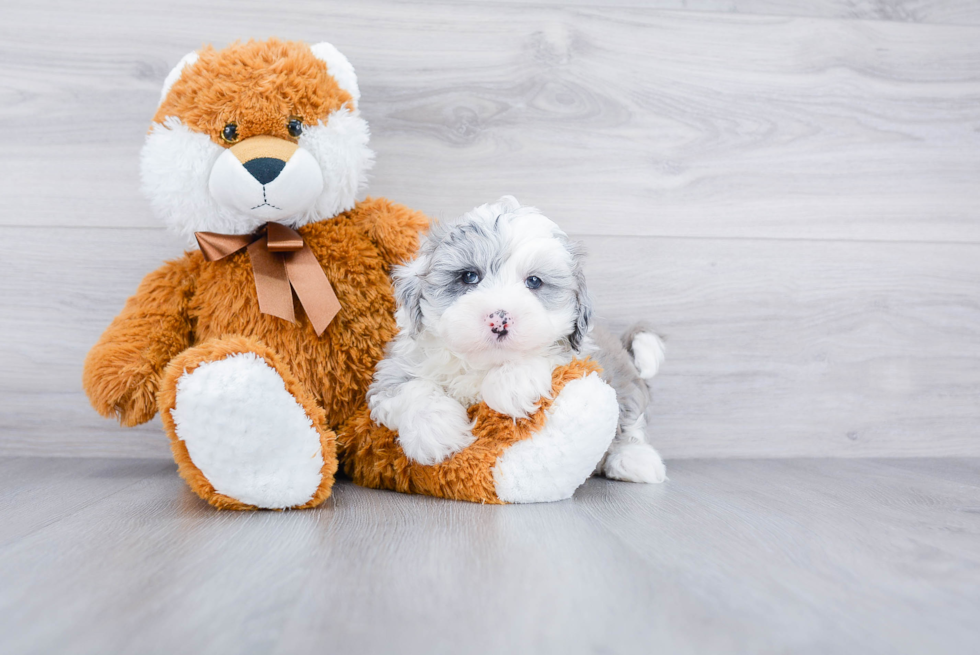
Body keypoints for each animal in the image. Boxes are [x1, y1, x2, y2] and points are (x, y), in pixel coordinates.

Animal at [368, 197, 668, 484]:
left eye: (534, 282)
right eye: (469, 276)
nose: (499, 320)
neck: (482, 365)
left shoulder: (580, 354)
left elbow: (544, 355)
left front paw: (512, 384)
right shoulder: (394, 369)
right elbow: (410, 388)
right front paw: (436, 432)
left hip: (624, 385)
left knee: (630, 421)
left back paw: (634, 459)